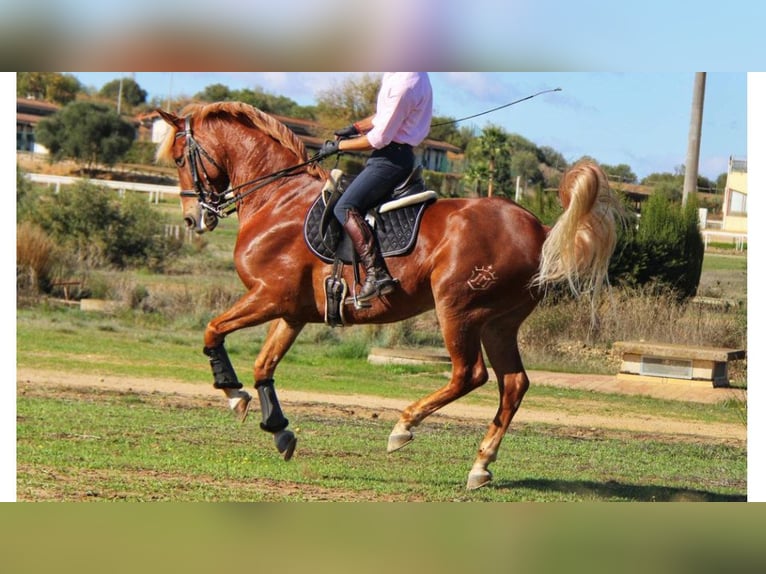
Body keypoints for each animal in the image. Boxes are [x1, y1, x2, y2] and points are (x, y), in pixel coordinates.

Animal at [158, 102, 624, 490]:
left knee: (470, 374)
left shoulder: (267, 296)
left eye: (180, 158)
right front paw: (279, 429)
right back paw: (480, 465)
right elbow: (263, 365)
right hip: (499, 322)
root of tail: (539, 228)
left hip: (459, 309)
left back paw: (403, 427)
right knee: (513, 384)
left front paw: (232, 394)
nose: (192, 218)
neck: (277, 201)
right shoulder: (292, 311)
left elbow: (212, 331)